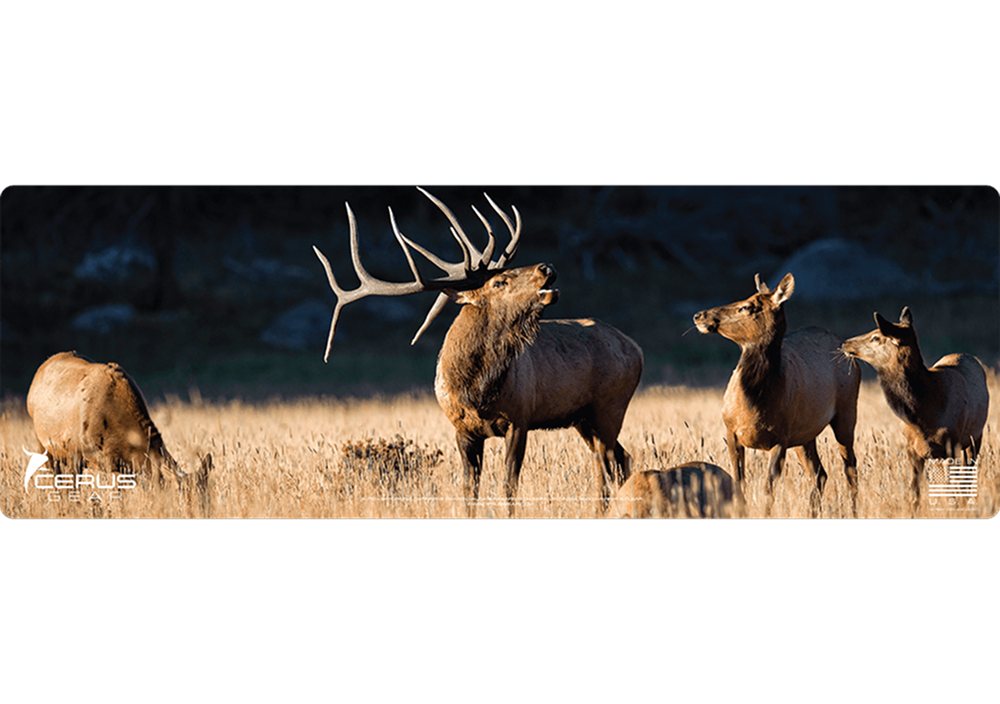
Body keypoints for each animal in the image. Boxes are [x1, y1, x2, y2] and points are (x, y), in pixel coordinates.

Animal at [312, 187, 644, 516]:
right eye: (500, 281)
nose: (547, 266)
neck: (476, 390)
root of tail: (636, 348)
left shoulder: (520, 419)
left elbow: (508, 487)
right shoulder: (462, 429)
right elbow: (469, 490)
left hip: (610, 406)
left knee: (608, 465)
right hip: (584, 418)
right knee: (618, 460)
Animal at [693, 273, 860, 516]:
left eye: (747, 306)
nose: (699, 315)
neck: (754, 404)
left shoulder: (781, 438)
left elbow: (767, 489)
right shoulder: (731, 431)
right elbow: (739, 483)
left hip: (847, 411)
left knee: (850, 468)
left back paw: (854, 509)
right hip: (805, 435)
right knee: (820, 474)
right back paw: (812, 512)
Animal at [840, 307, 989, 507]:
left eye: (876, 337)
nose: (845, 343)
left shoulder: (952, 444)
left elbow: (953, 489)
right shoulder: (912, 448)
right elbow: (914, 492)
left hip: (975, 437)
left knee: (967, 476)